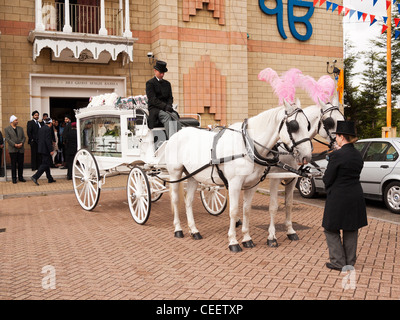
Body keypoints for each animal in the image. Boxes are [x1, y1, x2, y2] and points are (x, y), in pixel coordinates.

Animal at [164, 96, 314, 251]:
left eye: (307, 125)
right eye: (294, 126)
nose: (307, 156)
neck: (247, 146)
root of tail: (177, 133)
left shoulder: (252, 185)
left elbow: (246, 209)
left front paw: (247, 238)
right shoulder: (235, 183)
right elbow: (234, 210)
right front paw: (233, 241)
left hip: (193, 176)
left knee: (188, 201)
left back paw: (194, 230)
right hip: (175, 173)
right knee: (176, 200)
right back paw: (178, 229)